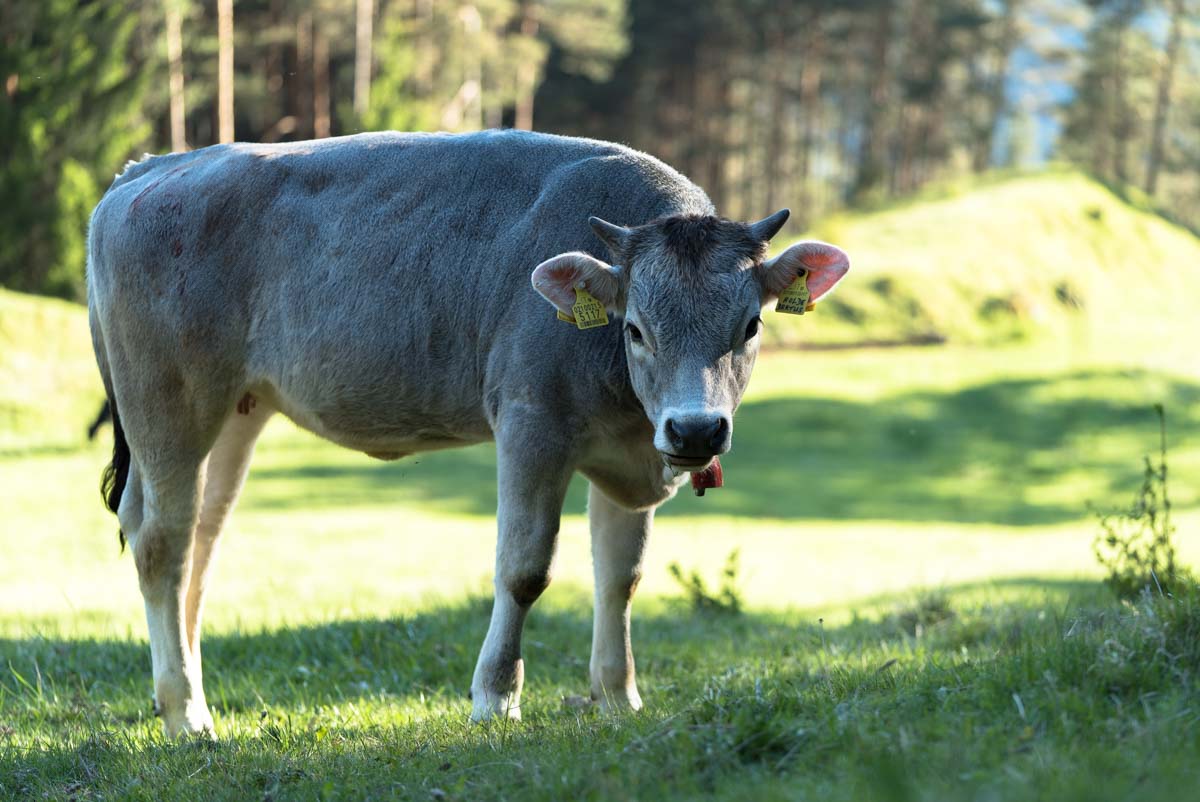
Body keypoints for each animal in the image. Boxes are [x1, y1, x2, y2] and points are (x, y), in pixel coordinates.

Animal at [88, 131, 849, 739]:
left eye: (750, 325)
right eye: (635, 329)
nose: (695, 427)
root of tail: (152, 168)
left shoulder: (633, 452)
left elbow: (620, 577)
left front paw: (618, 696)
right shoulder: (532, 421)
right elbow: (524, 570)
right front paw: (496, 698)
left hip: (235, 412)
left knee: (199, 540)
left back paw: (183, 690)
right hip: (170, 400)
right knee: (162, 544)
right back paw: (186, 714)